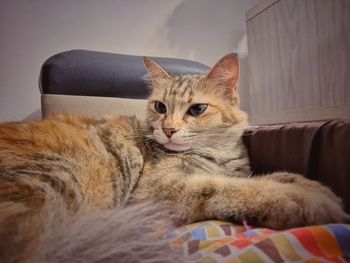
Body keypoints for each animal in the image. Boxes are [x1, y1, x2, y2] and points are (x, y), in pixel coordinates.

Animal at [0, 52, 348, 262]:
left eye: (197, 109)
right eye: (160, 107)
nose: (168, 129)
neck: (217, 154)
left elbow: (274, 175)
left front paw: (314, 186)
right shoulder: (161, 191)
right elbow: (236, 187)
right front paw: (306, 201)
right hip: (55, 183)